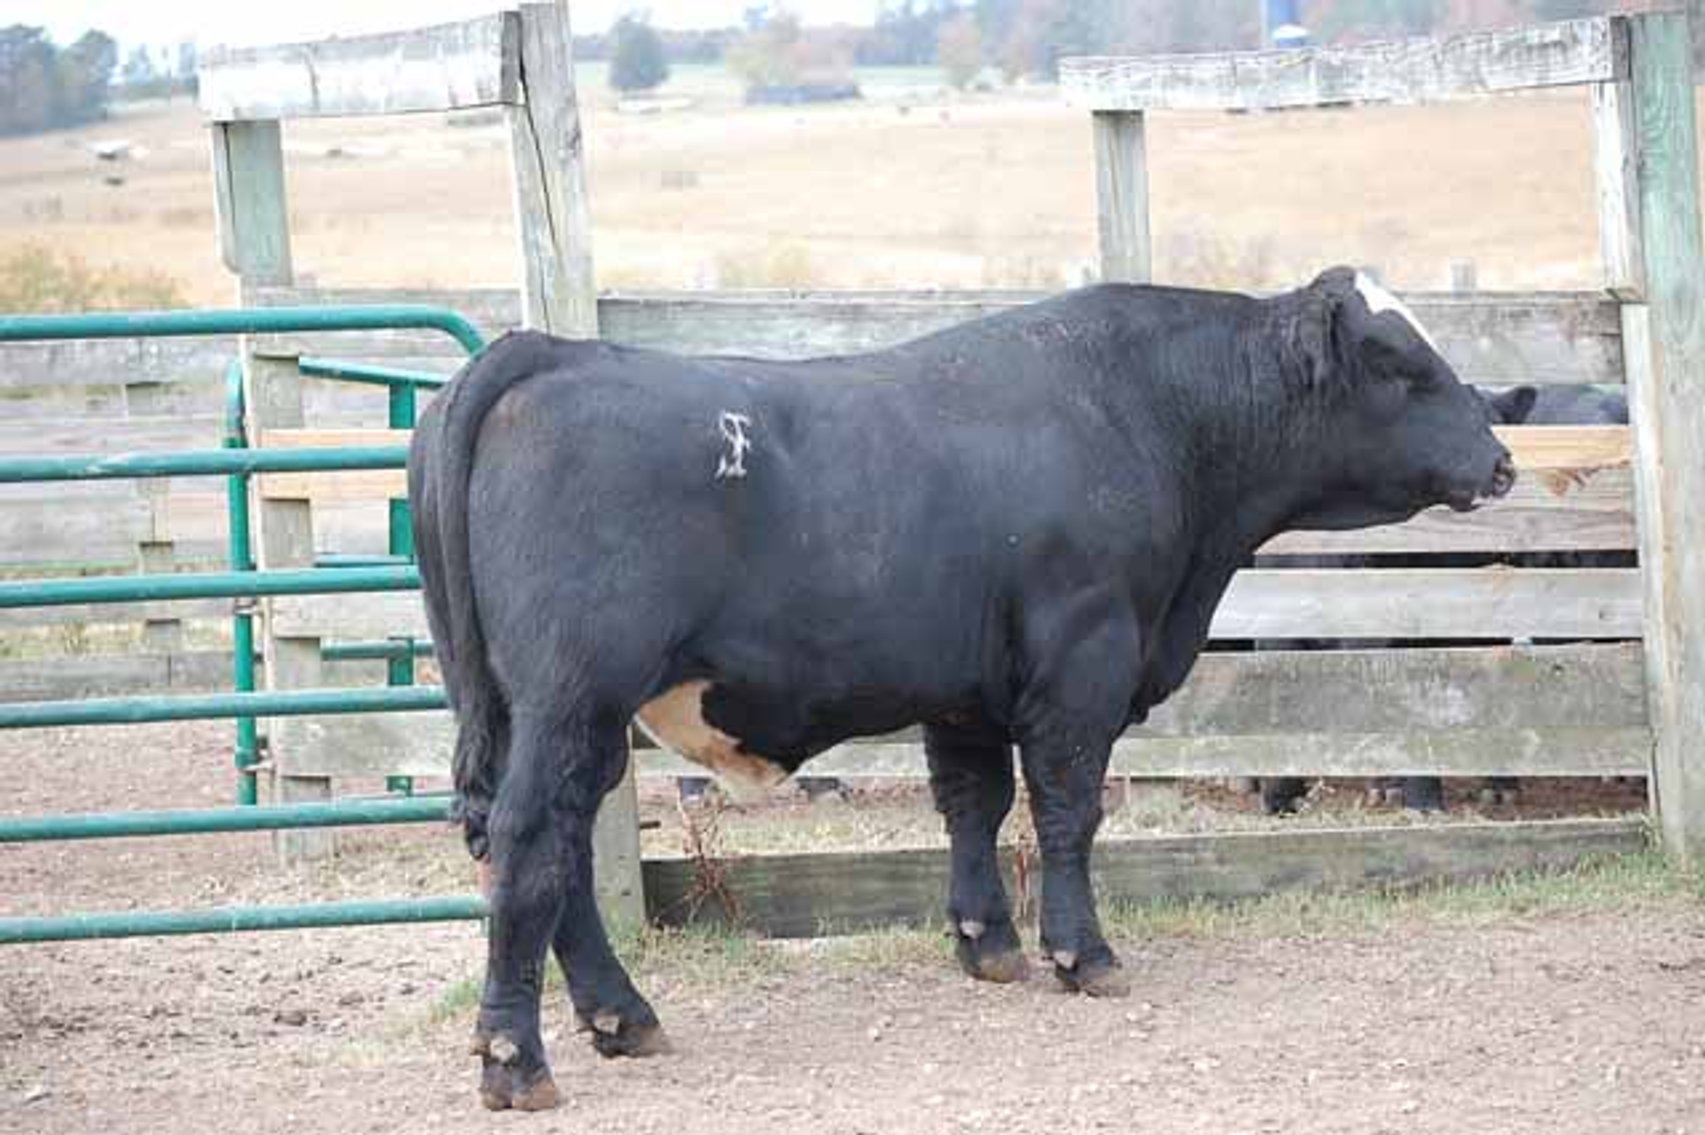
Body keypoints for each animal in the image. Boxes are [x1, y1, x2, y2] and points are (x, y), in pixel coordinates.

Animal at [408, 266, 1515, 1112]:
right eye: (1398, 362)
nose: (1501, 458)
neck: (1150, 412)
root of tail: (550, 351)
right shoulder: (1082, 663)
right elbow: (1065, 812)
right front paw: (1081, 953)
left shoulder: (966, 689)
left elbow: (972, 806)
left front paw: (987, 943)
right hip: (572, 698)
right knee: (531, 844)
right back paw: (517, 1060)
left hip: (546, 714)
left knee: (548, 850)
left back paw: (621, 1016)